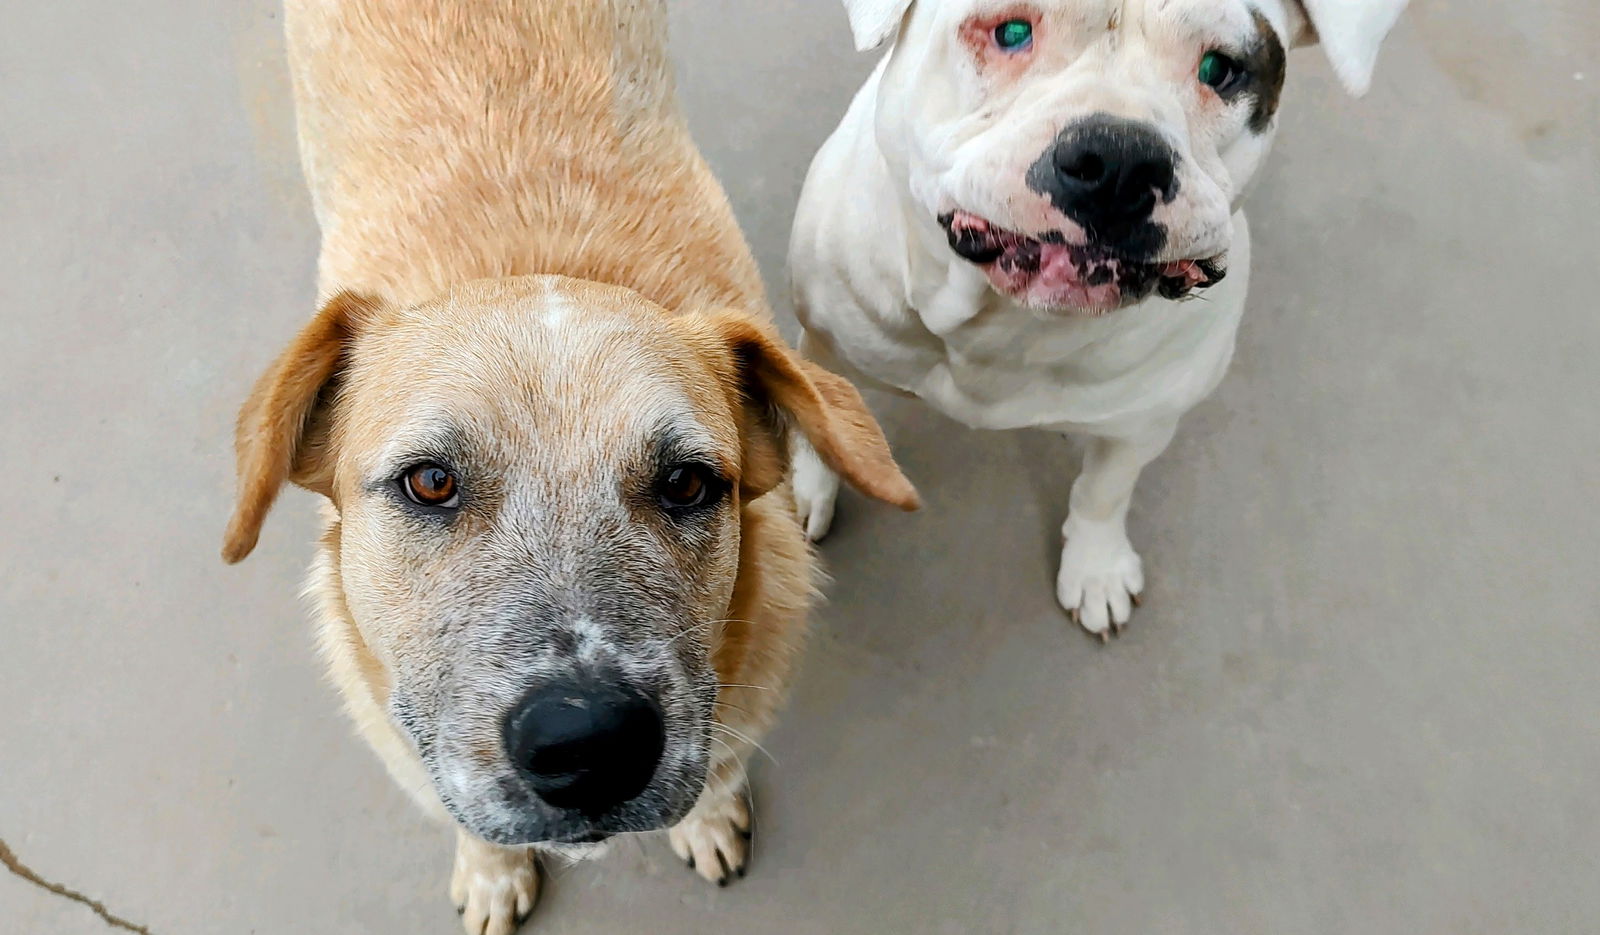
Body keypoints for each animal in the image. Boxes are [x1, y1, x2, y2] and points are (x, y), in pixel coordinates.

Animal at [222, 3, 915, 928]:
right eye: (430, 481)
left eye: (688, 482)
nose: (589, 744)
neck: (533, 258)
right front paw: (491, 872)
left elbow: (719, 769)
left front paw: (707, 819)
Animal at [793, 0, 1408, 634]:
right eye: (1011, 31)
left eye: (1221, 69)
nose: (1119, 159)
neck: (1009, 323)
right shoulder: (825, 347)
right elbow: (816, 415)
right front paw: (803, 495)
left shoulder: (1143, 423)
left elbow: (1104, 491)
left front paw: (1096, 569)